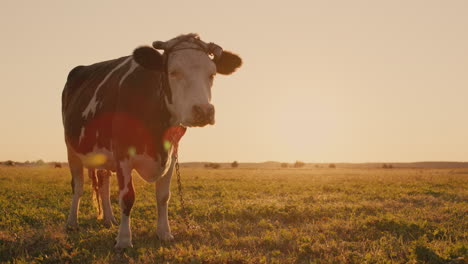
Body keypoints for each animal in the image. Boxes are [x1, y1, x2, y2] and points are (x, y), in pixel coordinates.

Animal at [61, 33, 241, 248]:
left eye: (212, 74)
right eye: (173, 72)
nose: (204, 111)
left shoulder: (171, 155)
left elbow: (163, 196)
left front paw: (164, 233)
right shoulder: (122, 154)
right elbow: (127, 197)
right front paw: (124, 240)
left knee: (103, 184)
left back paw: (109, 219)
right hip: (71, 149)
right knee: (78, 186)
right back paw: (72, 222)